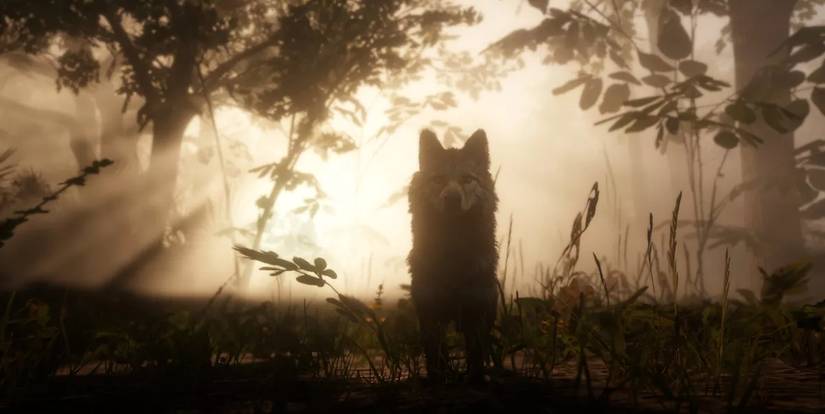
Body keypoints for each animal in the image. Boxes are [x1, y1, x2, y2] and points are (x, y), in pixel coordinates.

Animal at [408, 128, 498, 383]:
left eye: (467, 179)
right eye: (438, 179)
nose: (452, 199)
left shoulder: (476, 311)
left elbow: (475, 354)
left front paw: (476, 380)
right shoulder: (430, 312)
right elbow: (435, 356)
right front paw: (437, 380)